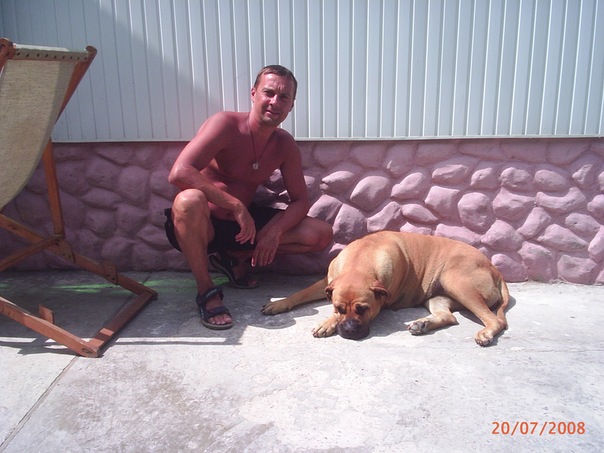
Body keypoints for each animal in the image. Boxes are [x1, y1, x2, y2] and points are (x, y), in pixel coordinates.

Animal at [262, 231, 509, 346]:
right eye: (339, 308)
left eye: (363, 309)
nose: (349, 330)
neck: (360, 260)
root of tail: (496, 270)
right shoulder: (326, 282)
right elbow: (300, 293)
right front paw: (279, 303)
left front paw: (326, 323)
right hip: (438, 296)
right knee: (449, 316)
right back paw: (422, 324)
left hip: (456, 280)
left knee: (494, 320)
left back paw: (486, 333)